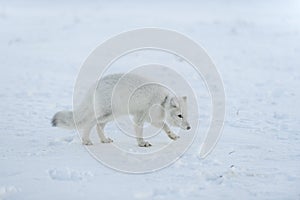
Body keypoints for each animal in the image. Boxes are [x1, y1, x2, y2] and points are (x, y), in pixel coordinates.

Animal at [51, 73, 191, 147]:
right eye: (180, 116)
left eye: (186, 115)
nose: (189, 128)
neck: (162, 100)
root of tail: (96, 84)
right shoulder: (142, 118)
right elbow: (157, 127)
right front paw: (142, 143)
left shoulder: (148, 118)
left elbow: (165, 126)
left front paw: (172, 136)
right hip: (108, 114)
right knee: (90, 124)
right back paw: (86, 141)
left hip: (111, 115)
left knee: (98, 126)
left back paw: (104, 140)